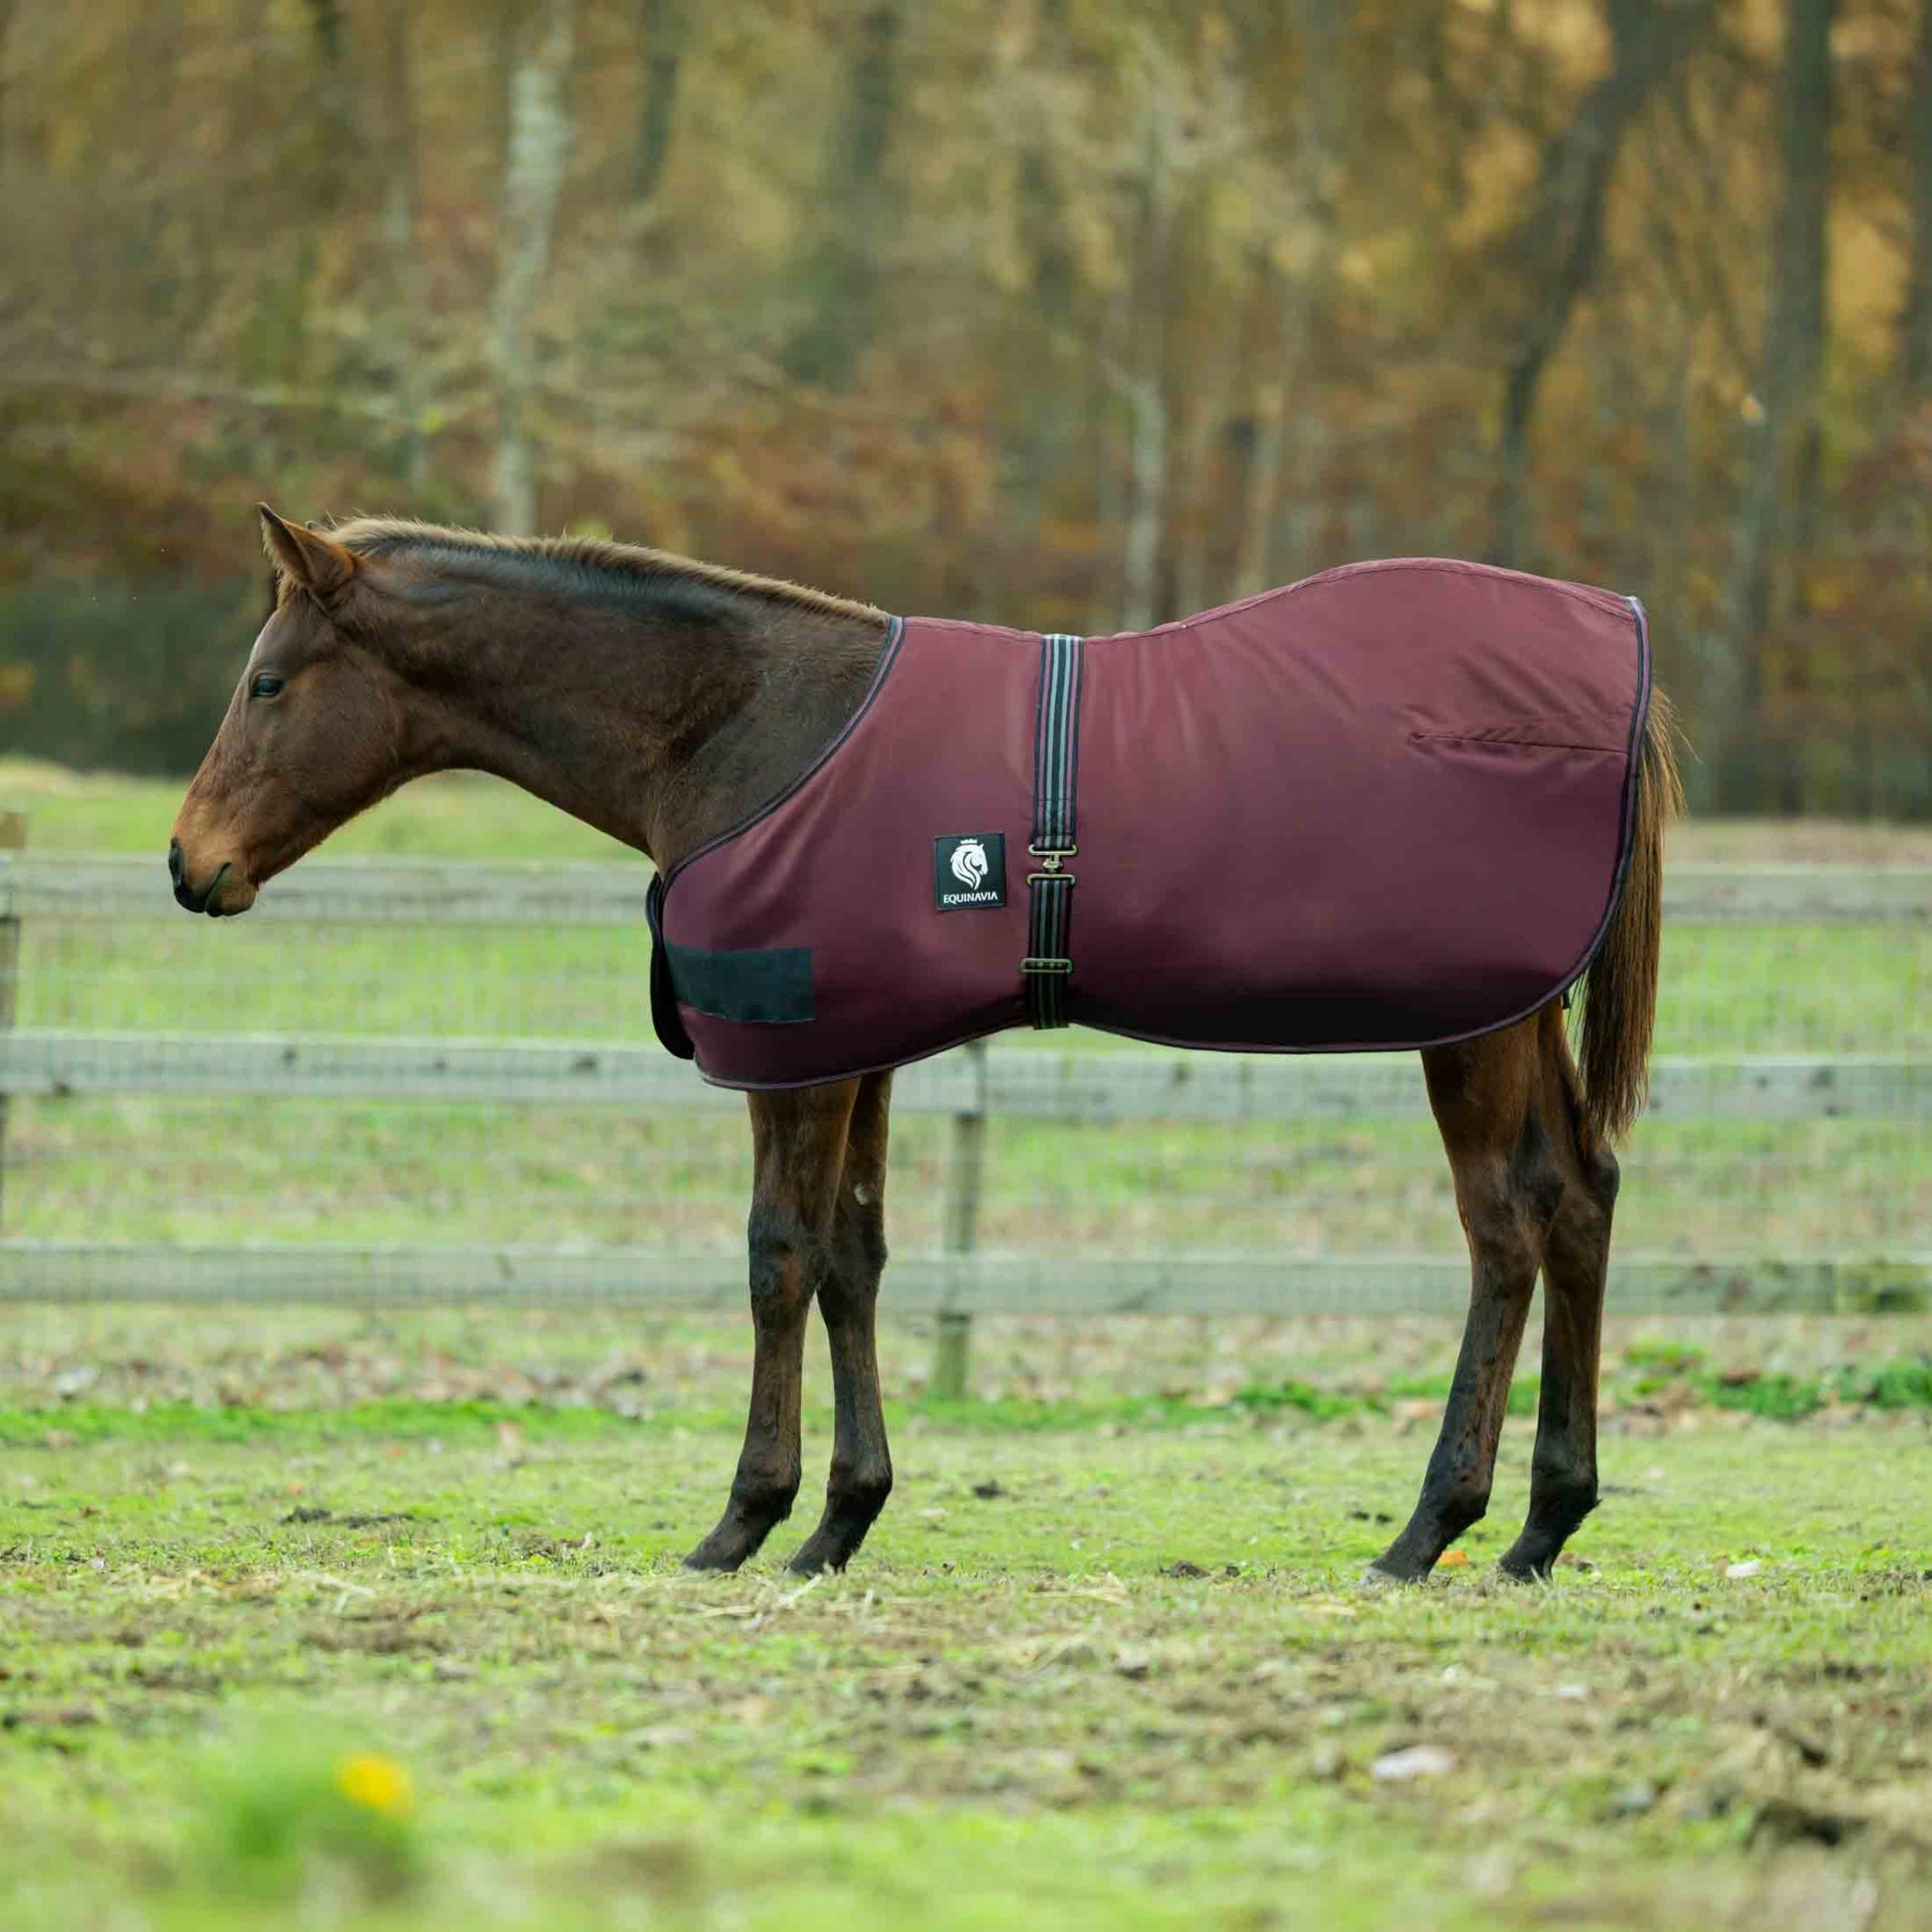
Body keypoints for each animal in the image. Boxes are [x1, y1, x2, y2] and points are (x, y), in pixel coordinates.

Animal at [171, 505, 1682, 1585]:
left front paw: (742, 1519)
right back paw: (1541, 1526)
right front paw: (839, 1520)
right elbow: (855, 1256)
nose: (191, 866)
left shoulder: (795, 1057)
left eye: (266, 682)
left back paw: (1430, 1527)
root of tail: (1618, 657)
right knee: (1583, 1202)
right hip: (1522, 1011)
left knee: (1506, 1224)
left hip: (1472, 1022)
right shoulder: (865, 1046)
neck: (740, 721)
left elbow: (776, 1257)